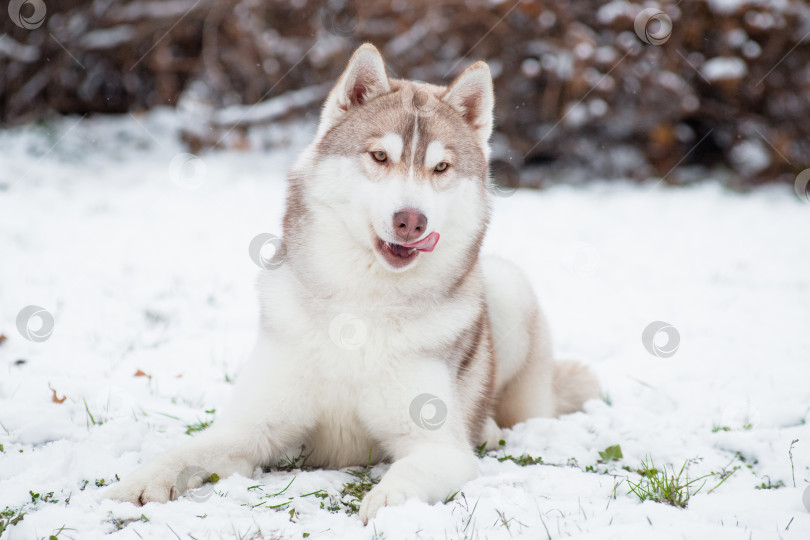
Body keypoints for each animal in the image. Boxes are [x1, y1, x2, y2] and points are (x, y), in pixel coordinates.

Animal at [105, 44, 600, 524]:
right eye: (380, 156)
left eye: (441, 167)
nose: (410, 221)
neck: (362, 306)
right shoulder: (251, 427)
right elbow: (186, 453)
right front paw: (138, 484)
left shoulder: (439, 446)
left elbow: (414, 470)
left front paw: (391, 502)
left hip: (506, 286)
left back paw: (492, 427)